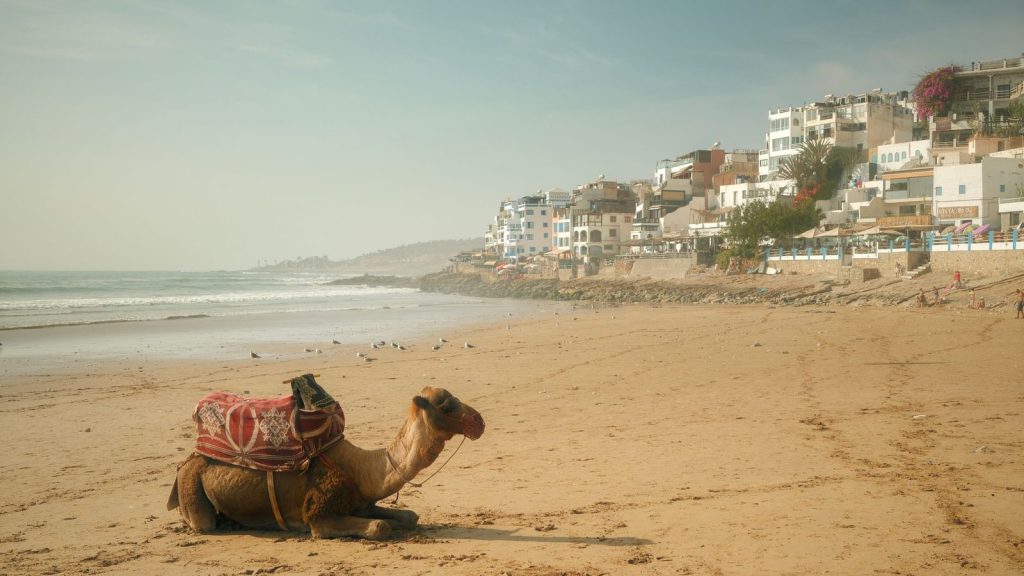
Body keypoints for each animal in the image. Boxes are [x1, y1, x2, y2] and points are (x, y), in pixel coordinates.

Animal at [167, 386, 484, 540]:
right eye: (447, 406)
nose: (479, 420)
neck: (361, 470)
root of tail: (189, 459)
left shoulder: (362, 503)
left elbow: (409, 517)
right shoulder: (319, 514)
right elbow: (380, 527)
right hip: (191, 484)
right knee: (202, 522)